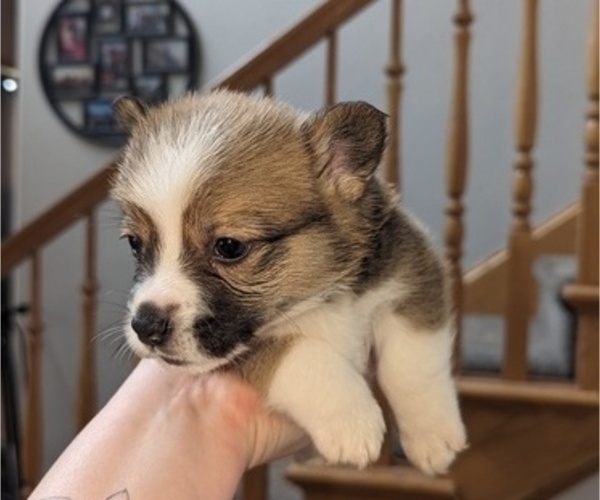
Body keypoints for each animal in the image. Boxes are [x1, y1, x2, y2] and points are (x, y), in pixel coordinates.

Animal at [112, 88, 468, 474]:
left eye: (229, 246)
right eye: (134, 243)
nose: (145, 326)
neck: (317, 297)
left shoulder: (412, 277)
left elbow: (412, 365)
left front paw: (432, 434)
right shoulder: (253, 350)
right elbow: (302, 354)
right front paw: (352, 420)